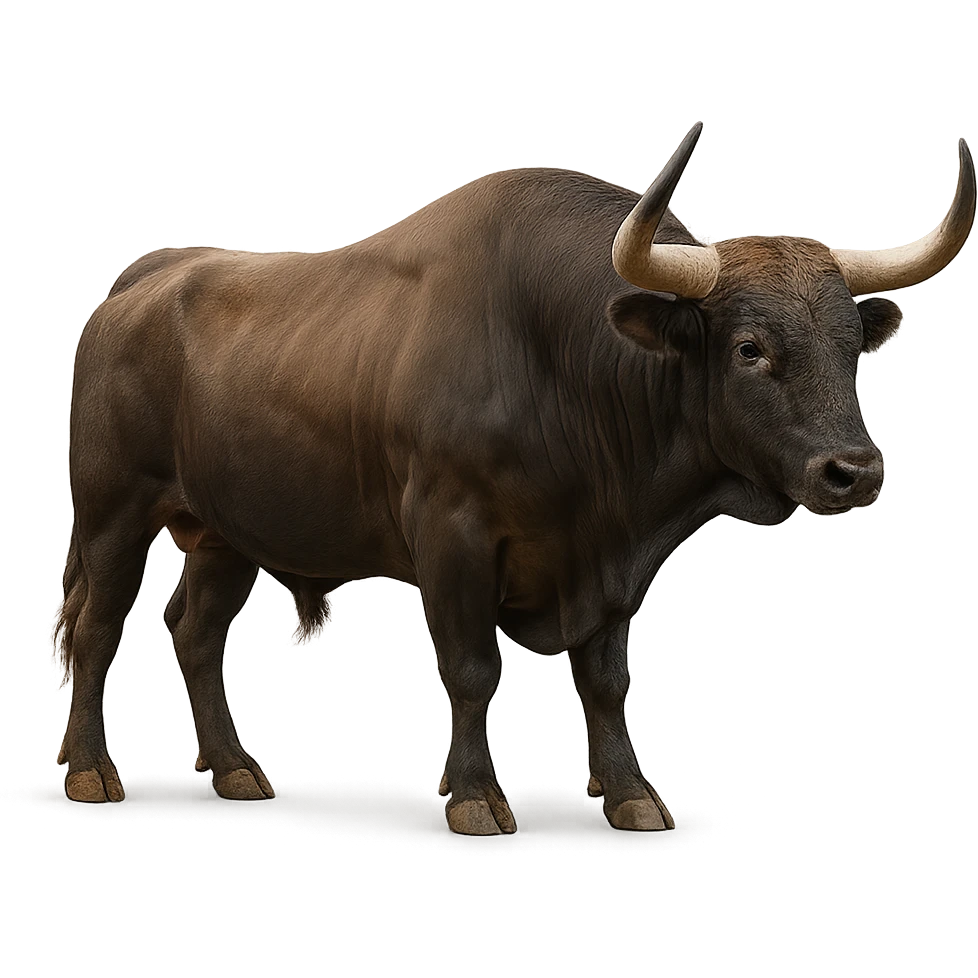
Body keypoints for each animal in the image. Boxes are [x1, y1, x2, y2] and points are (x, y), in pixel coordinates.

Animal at [57, 124, 975, 836]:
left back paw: (235, 769)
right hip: (114, 514)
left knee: (194, 633)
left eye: (852, 347)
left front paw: (631, 795)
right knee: (96, 633)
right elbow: (471, 670)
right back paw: (90, 772)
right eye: (750, 348)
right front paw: (474, 796)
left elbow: (607, 682)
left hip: (226, 534)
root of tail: (144, 279)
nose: (852, 471)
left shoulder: (609, 563)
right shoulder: (452, 536)